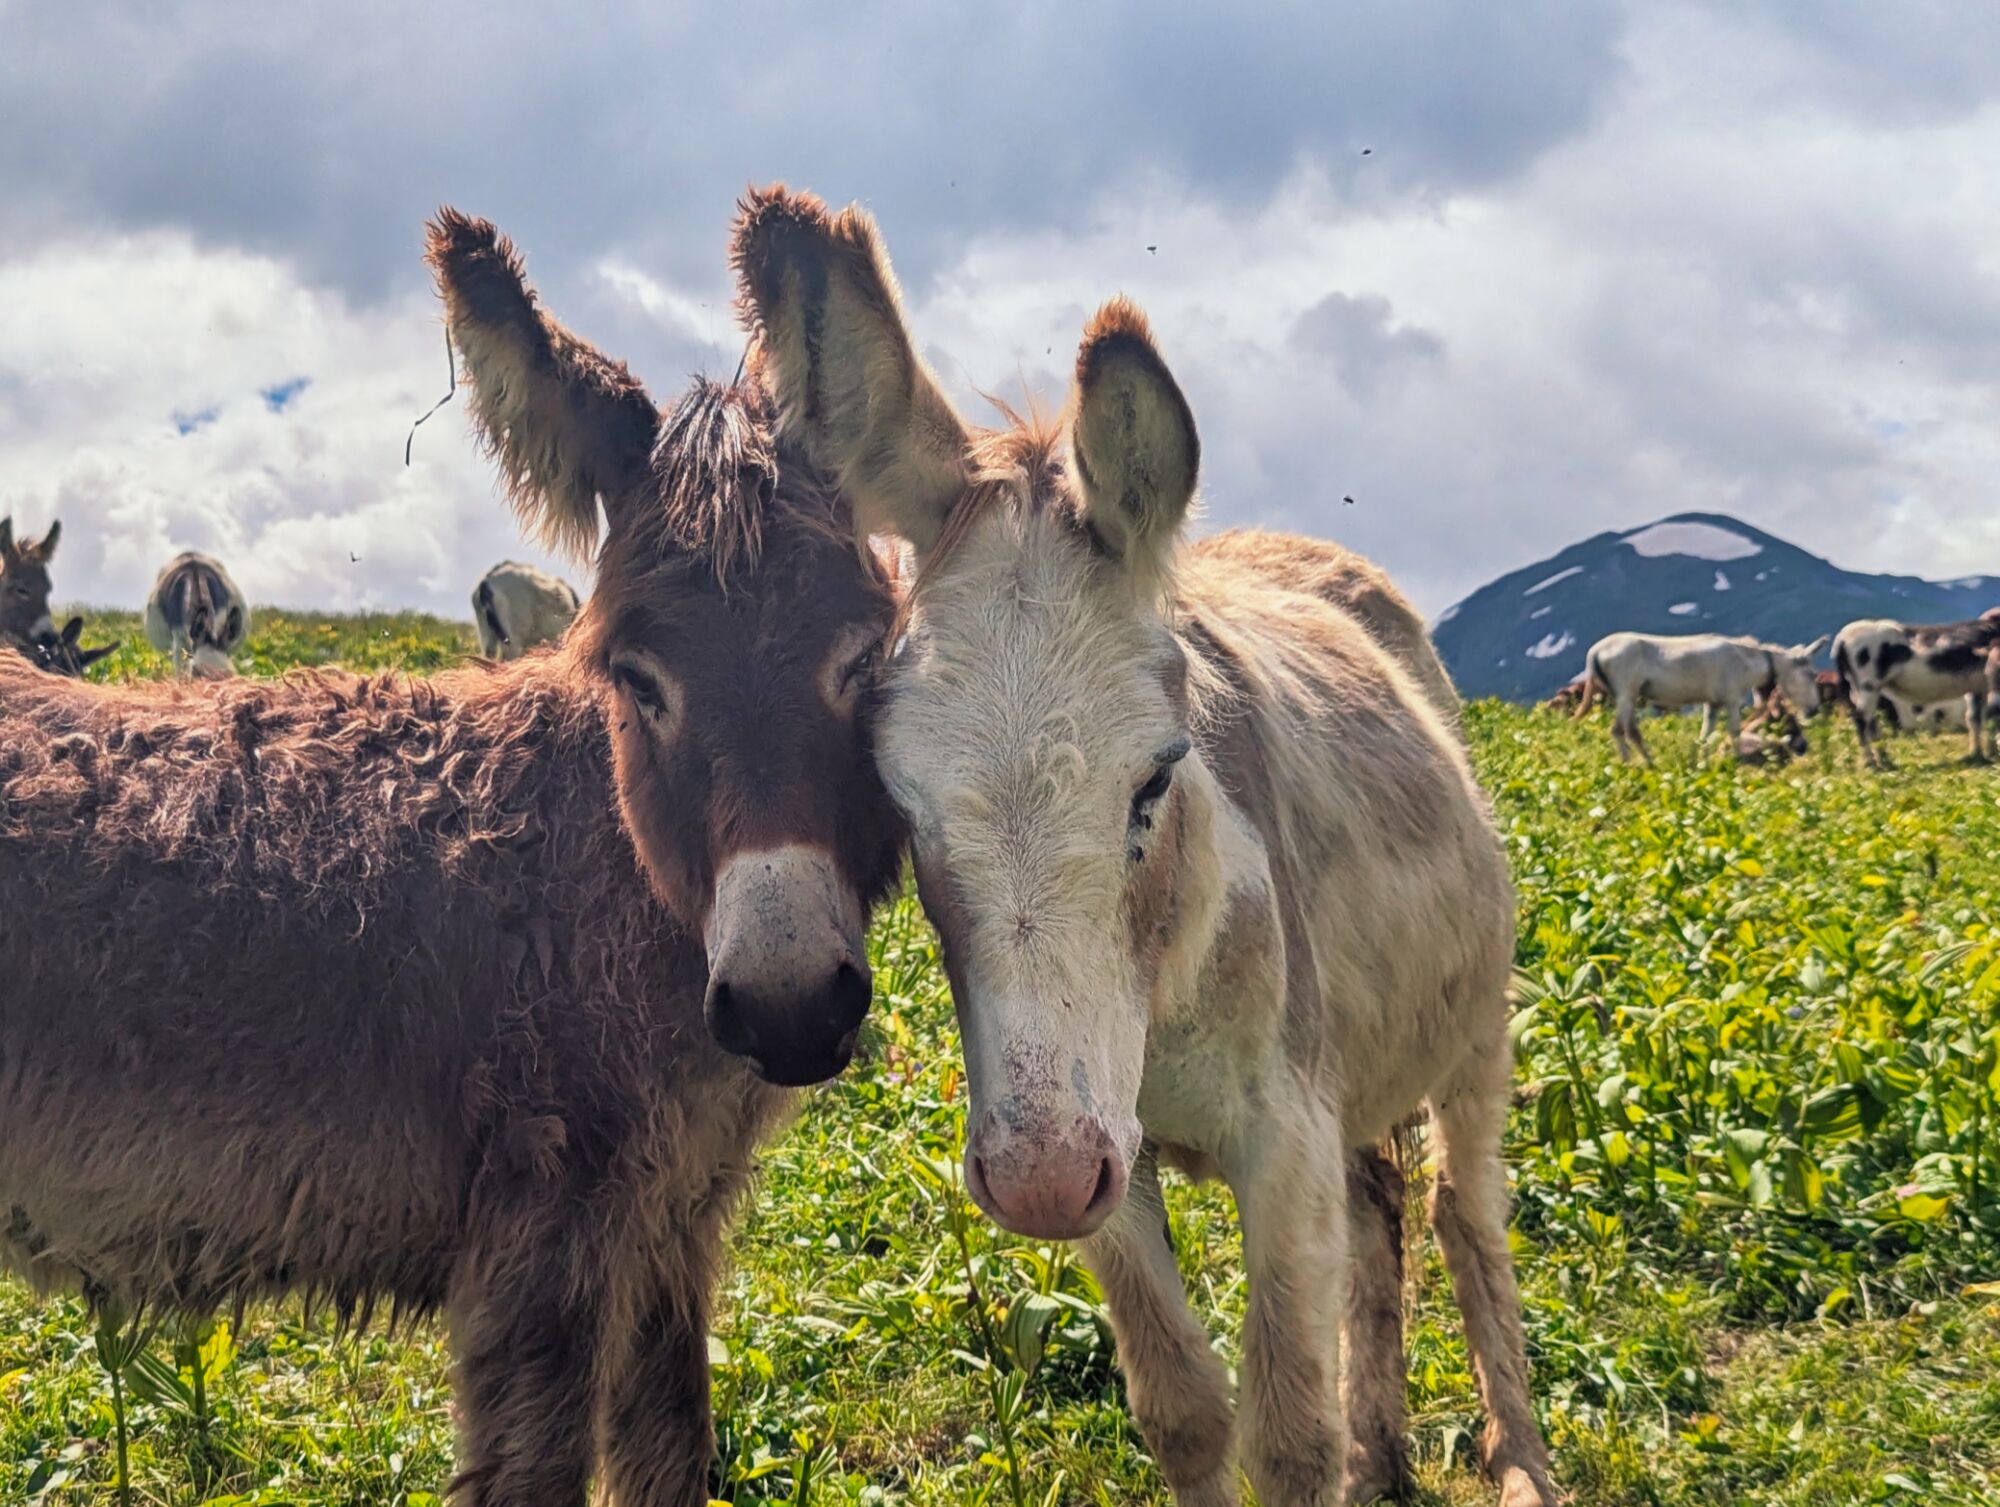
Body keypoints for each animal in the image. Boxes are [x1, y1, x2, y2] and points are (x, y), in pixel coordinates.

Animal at [1576, 627, 1832, 763]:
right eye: (1811, 674)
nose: (1814, 710)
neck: (1748, 662)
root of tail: (1595, 651)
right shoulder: (1731, 700)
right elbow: (1734, 732)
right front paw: (1737, 763)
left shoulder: (1712, 704)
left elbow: (1705, 736)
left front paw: (1704, 765)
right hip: (1626, 694)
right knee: (1620, 731)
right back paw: (1634, 766)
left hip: (1625, 697)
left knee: (1630, 731)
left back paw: (1647, 765)